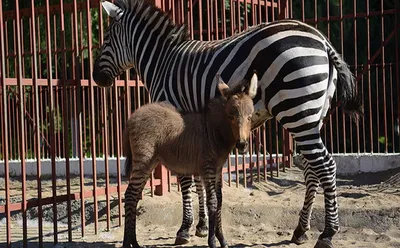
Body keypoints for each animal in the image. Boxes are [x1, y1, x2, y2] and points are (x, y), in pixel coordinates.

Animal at [122, 72, 258, 248]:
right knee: (130, 195)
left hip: (149, 163)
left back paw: (134, 242)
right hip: (143, 160)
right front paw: (212, 241)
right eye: (231, 116)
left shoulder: (218, 169)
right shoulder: (207, 168)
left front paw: (222, 239)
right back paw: (127, 243)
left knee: (134, 195)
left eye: (250, 117)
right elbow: (212, 201)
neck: (213, 131)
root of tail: (132, 117)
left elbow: (220, 201)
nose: (242, 145)